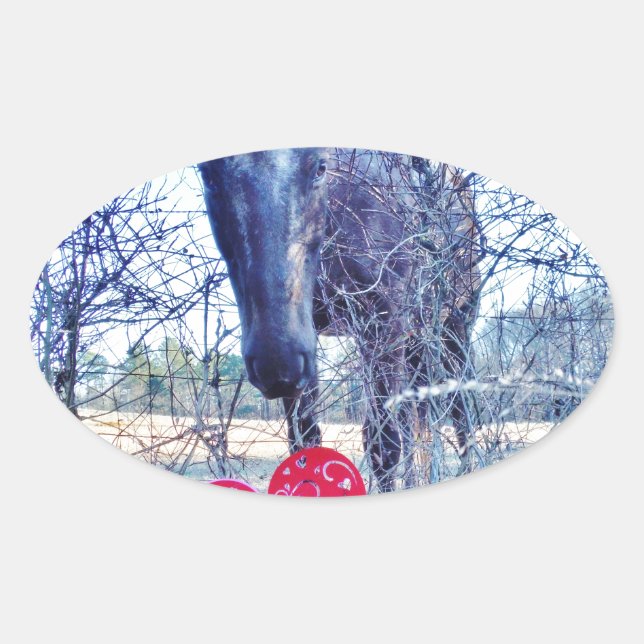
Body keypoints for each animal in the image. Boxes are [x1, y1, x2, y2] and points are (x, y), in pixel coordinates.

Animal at [198, 148, 482, 491]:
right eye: (208, 175)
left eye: (320, 167)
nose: (275, 361)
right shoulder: (306, 345)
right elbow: (304, 440)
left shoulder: (382, 327)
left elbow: (384, 446)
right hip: (417, 342)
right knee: (418, 425)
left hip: (454, 330)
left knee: (460, 419)